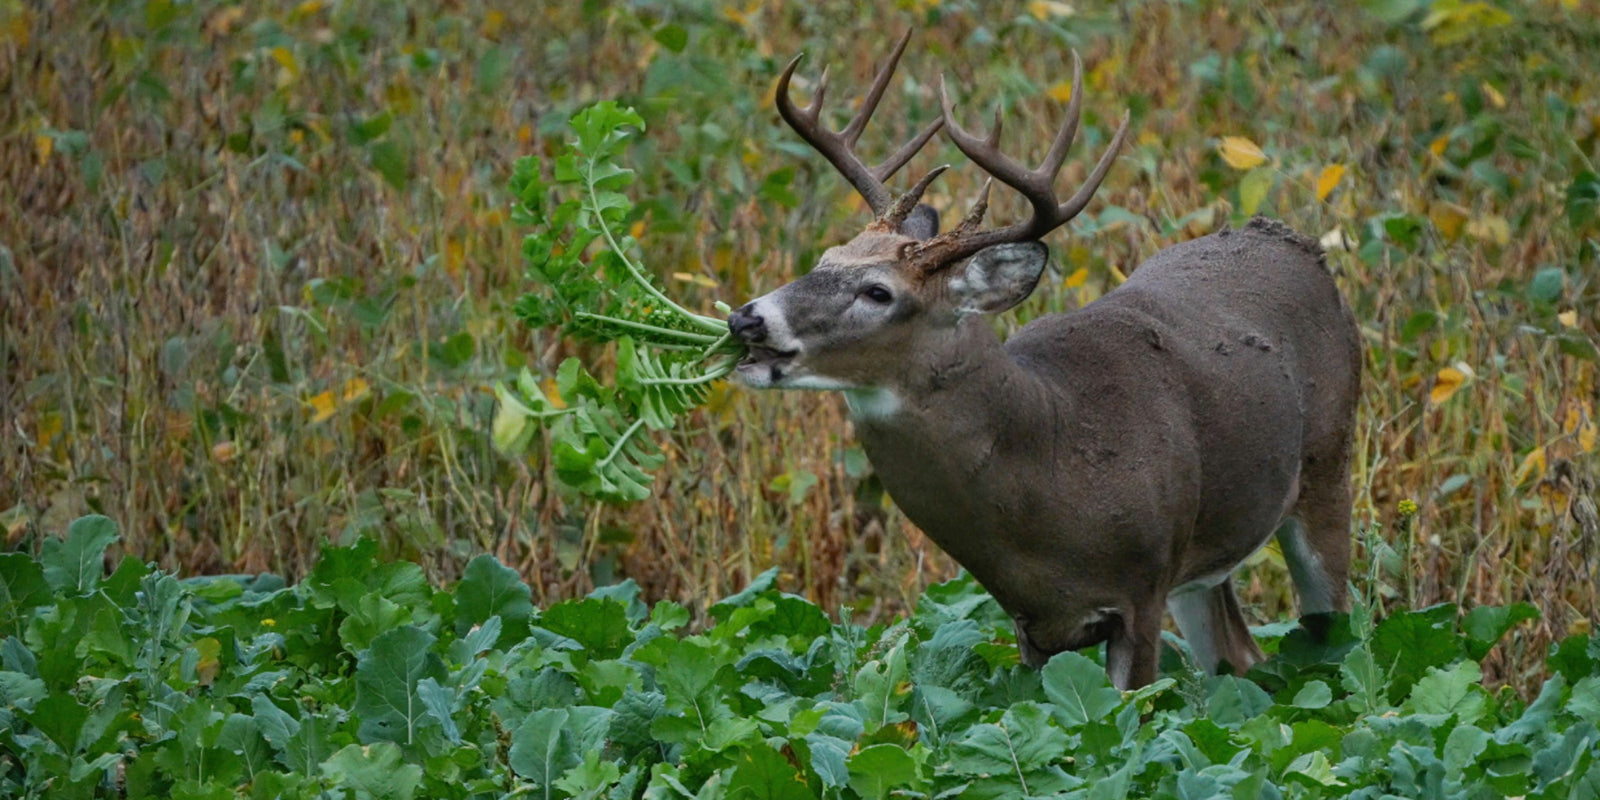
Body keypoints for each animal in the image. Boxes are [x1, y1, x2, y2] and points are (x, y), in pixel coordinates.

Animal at [728, 32, 1361, 690]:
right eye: (827, 256)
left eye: (879, 292)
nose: (746, 320)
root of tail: (1295, 243)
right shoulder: (1031, 627)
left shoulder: (1143, 585)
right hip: (1205, 554)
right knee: (1237, 659)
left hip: (1327, 469)